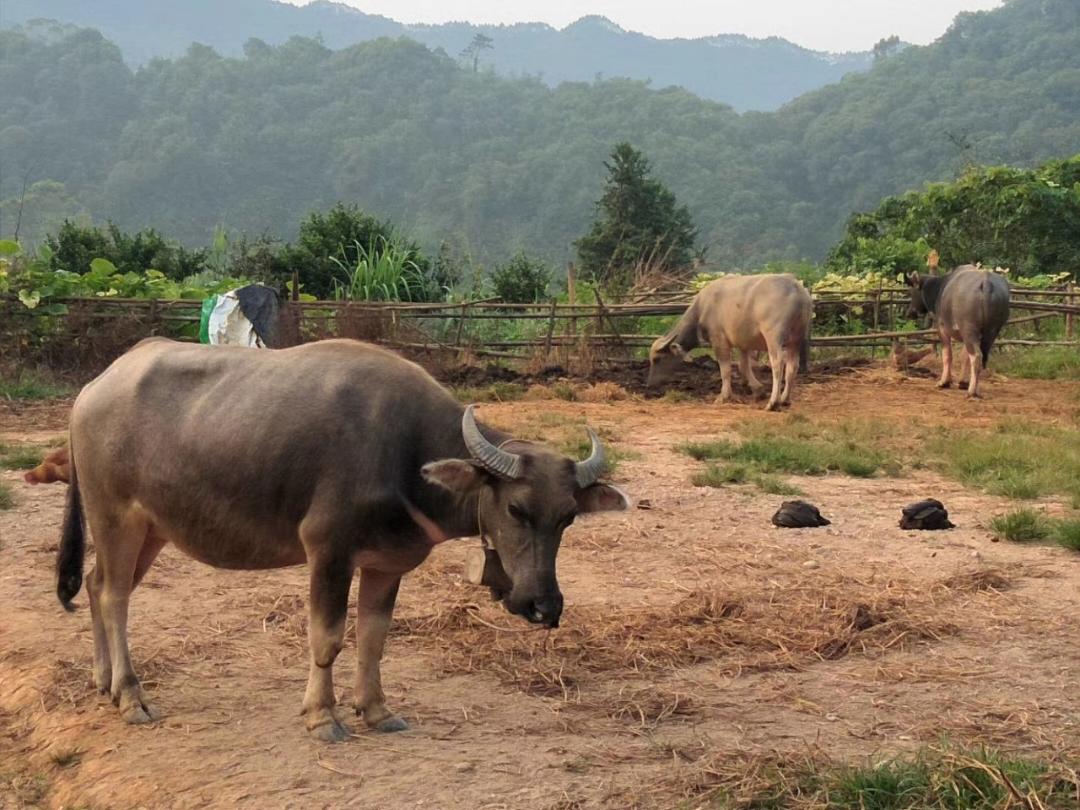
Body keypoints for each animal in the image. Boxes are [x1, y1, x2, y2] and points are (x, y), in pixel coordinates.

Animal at [56, 339, 630, 747]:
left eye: (568, 518)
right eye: (515, 509)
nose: (543, 605)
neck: (406, 455)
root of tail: (93, 389)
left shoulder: (386, 565)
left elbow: (373, 637)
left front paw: (376, 710)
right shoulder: (327, 552)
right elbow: (327, 638)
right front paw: (322, 717)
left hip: (152, 529)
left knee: (96, 584)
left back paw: (103, 681)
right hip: (114, 517)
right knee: (115, 596)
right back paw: (131, 696)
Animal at [643, 274, 812, 412]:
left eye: (657, 359)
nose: (649, 384)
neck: (702, 309)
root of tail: (796, 288)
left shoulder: (719, 341)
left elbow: (725, 369)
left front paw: (723, 396)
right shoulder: (744, 343)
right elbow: (743, 366)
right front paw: (757, 390)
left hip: (774, 336)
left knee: (778, 364)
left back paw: (773, 403)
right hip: (796, 338)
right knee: (793, 366)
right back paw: (785, 400)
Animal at [911, 266, 1010, 399]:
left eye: (911, 291)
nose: (910, 313)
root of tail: (986, 282)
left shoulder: (942, 329)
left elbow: (947, 355)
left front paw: (944, 382)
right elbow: (964, 356)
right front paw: (962, 382)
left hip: (969, 330)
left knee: (976, 356)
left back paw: (971, 391)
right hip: (992, 331)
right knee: (982, 357)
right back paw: (976, 388)